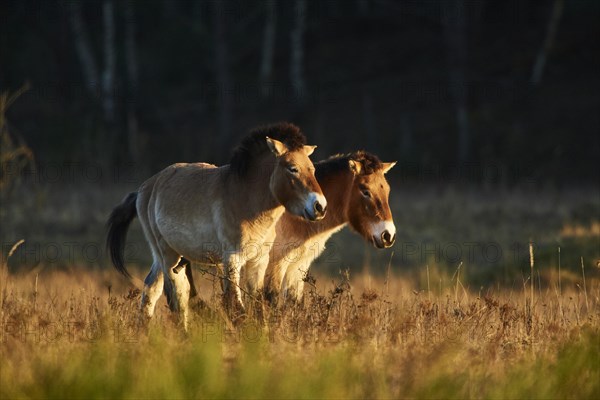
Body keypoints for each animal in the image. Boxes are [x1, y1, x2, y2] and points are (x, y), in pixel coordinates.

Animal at [105, 122, 326, 328]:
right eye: (293, 168)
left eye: (312, 169)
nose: (320, 207)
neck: (245, 197)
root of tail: (146, 188)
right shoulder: (232, 259)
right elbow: (235, 306)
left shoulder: (258, 260)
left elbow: (257, 307)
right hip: (166, 254)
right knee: (177, 295)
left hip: (165, 257)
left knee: (152, 289)